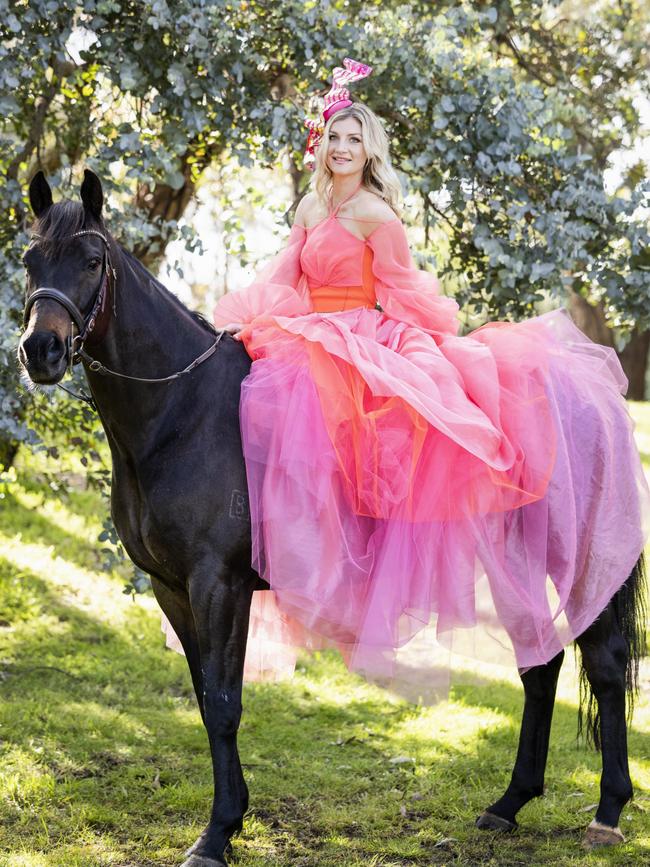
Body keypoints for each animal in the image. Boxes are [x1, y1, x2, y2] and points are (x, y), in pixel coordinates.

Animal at [17, 171, 644, 867]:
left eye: (90, 261)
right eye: (30, 260)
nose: (40, 350)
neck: (183, 413)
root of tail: (591, 386)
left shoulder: (220, 583)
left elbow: (224, 703)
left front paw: (216, 835)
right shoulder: (171, 586)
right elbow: (207, 697)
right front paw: (230, 819)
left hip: (578, 558)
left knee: (605, 661)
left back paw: (608, 812)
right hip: (512, 558)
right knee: (540, 664)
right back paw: (508, 805)